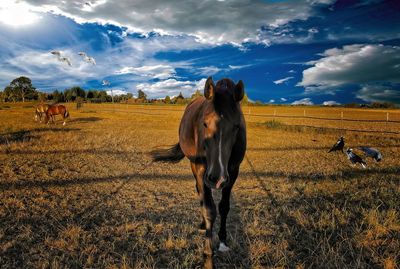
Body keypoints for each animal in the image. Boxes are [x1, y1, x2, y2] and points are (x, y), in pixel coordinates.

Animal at [150, 76, 245, 266]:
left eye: (237, 126)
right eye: (205, 123)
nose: (217, 178)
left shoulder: (233, 172)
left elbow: (224, 207)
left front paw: (222, 241)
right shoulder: (202, 170)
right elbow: (209, 209)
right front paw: (208, 256)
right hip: (195, 167)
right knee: (201, 195)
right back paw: (203, 225)